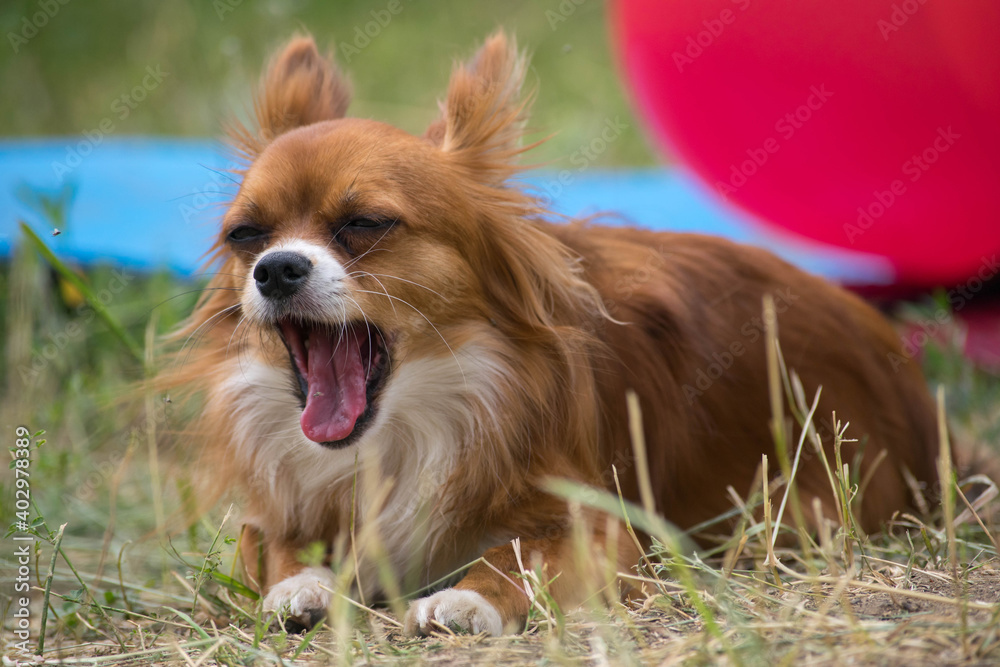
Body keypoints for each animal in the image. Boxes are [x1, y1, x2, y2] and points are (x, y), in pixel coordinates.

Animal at [162, 31, 936, 636]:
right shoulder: (283, 504)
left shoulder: (603, 525)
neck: (412, 423)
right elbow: (273, 542)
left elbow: (516, 555)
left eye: (364, 224)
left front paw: (467, 598)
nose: (275, 269)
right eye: (246, 236)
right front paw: (302, 583)